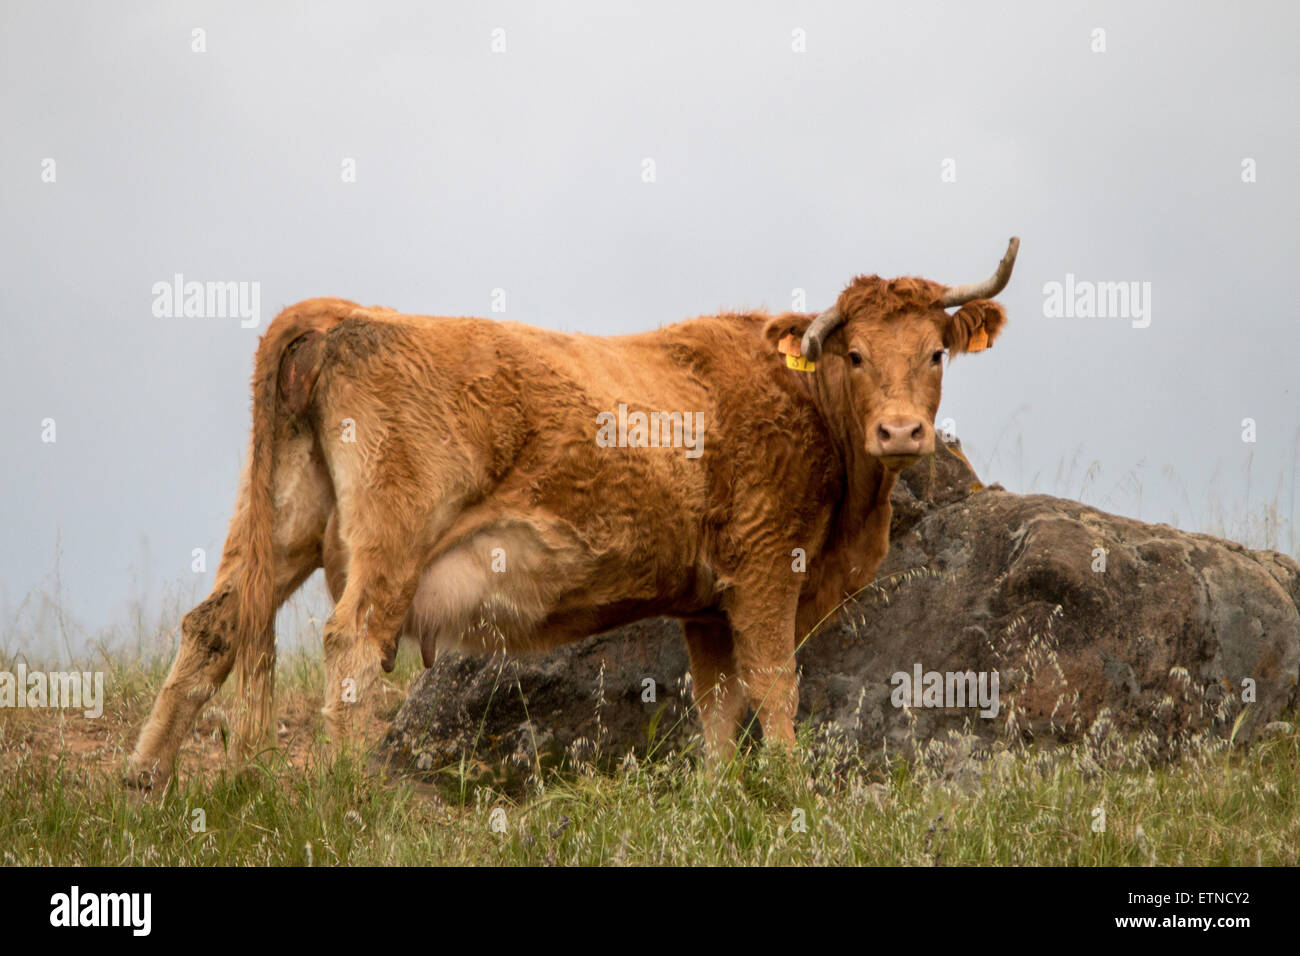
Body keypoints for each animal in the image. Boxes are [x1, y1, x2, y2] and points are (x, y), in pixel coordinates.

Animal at [126, 238, 1019, 789]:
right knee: (350, 644)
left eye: (935, 352)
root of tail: (342, 312)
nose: (900, 431)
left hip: (281, 523)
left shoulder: (707, 603)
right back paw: (346, 793)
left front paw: (722, 794)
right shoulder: (767, 570)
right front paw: (790, 791)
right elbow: (773, 684)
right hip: (390, 542)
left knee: (212, 625)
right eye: (855, 354)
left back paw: (145, 780)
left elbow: (719, 701)